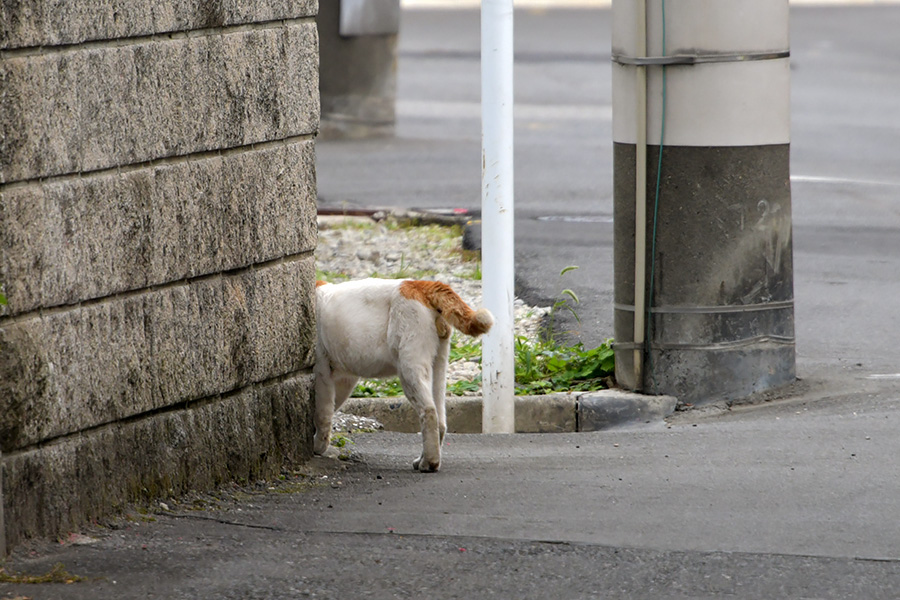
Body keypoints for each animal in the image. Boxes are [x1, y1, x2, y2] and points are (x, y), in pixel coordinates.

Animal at [314, 278, 492, 472]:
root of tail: (419, 283)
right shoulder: (346, 378)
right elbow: (333, 407)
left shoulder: (321, 371)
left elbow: (323, 413)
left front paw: (318, 447)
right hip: (438, 365)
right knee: (440, 420)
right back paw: (424, 459)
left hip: (409, 367)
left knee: (429, 411)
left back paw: (429, 463)